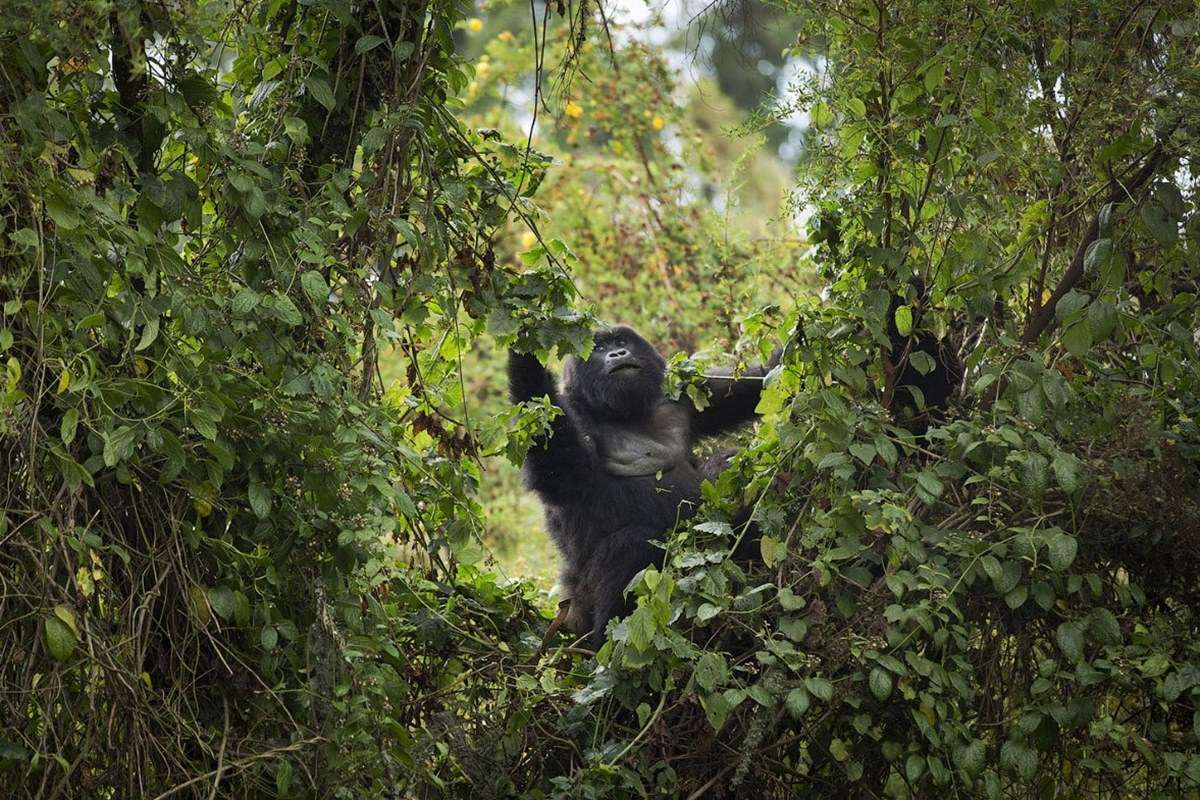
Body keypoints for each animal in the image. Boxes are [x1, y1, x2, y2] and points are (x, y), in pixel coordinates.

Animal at [506, 328, 777, 647]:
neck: (622, 412)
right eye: (599, 348)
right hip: (577, 604)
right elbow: (562, 469)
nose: (617, 354)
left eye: (621, 342)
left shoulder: (681, 392)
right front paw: (526, 355)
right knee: (631, 546)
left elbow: (758, 384)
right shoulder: (574, 412)